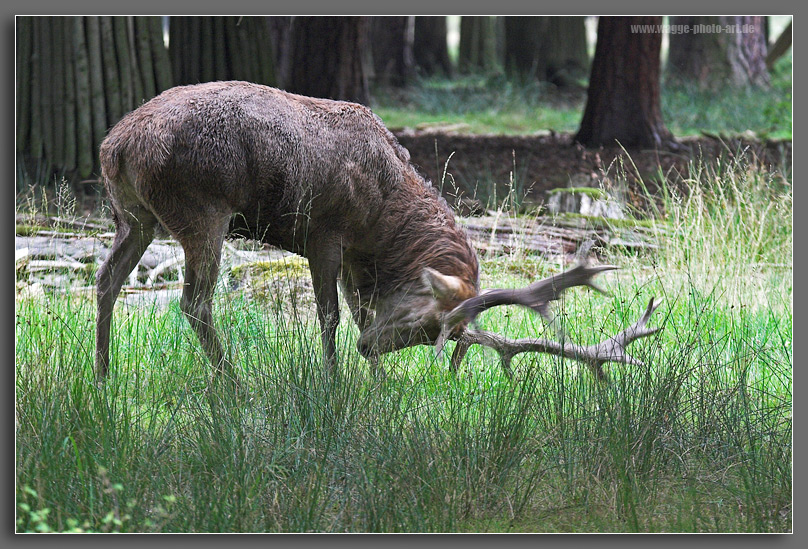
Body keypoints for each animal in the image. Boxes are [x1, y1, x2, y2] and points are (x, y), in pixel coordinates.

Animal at [98, 81, 660, 384]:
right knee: (194, 300)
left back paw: (104, 375)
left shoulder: (353, 256)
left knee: (107, 281)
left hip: (134, 215)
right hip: (202, 209)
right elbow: (329, 316)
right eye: (427, 324)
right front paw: (334, 381)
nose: (371, 348)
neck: (383, 221)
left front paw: (377, 381)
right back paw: (233, 382)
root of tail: (115, 145)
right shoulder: (325, 231)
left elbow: (356, 309)